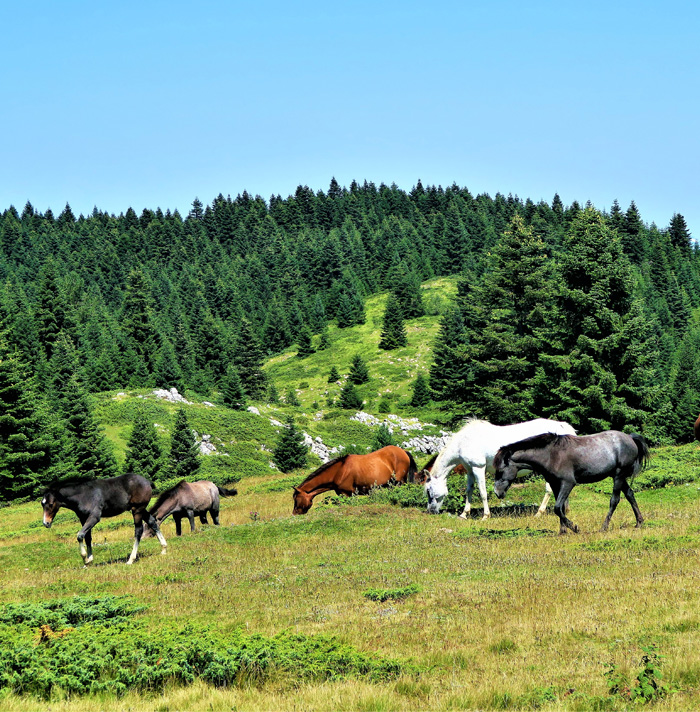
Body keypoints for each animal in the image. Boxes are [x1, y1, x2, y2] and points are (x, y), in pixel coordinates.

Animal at [424, 418, 577, 517]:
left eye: (428, 490)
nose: (431, 510)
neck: (464, 442)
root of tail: (563, 427)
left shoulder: (479, 468)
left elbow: (483, 493)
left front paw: (486, 515)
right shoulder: (470, 470)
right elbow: (469, 491)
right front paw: (464, 514)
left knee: (549, 490)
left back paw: (539, 513)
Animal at [493, 431, 650, 535]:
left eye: (500, 470)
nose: (497, 493)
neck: (551, 454)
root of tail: (630, 437)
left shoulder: (568, 483)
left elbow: (557, 508)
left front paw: (574, 527)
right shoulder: (555, 484)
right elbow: (560, 508)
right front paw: (562, 531)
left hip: (618, 475)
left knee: (614, 500)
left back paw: (604, 527)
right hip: (619, 477)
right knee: (630, 495)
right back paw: (639, 522)